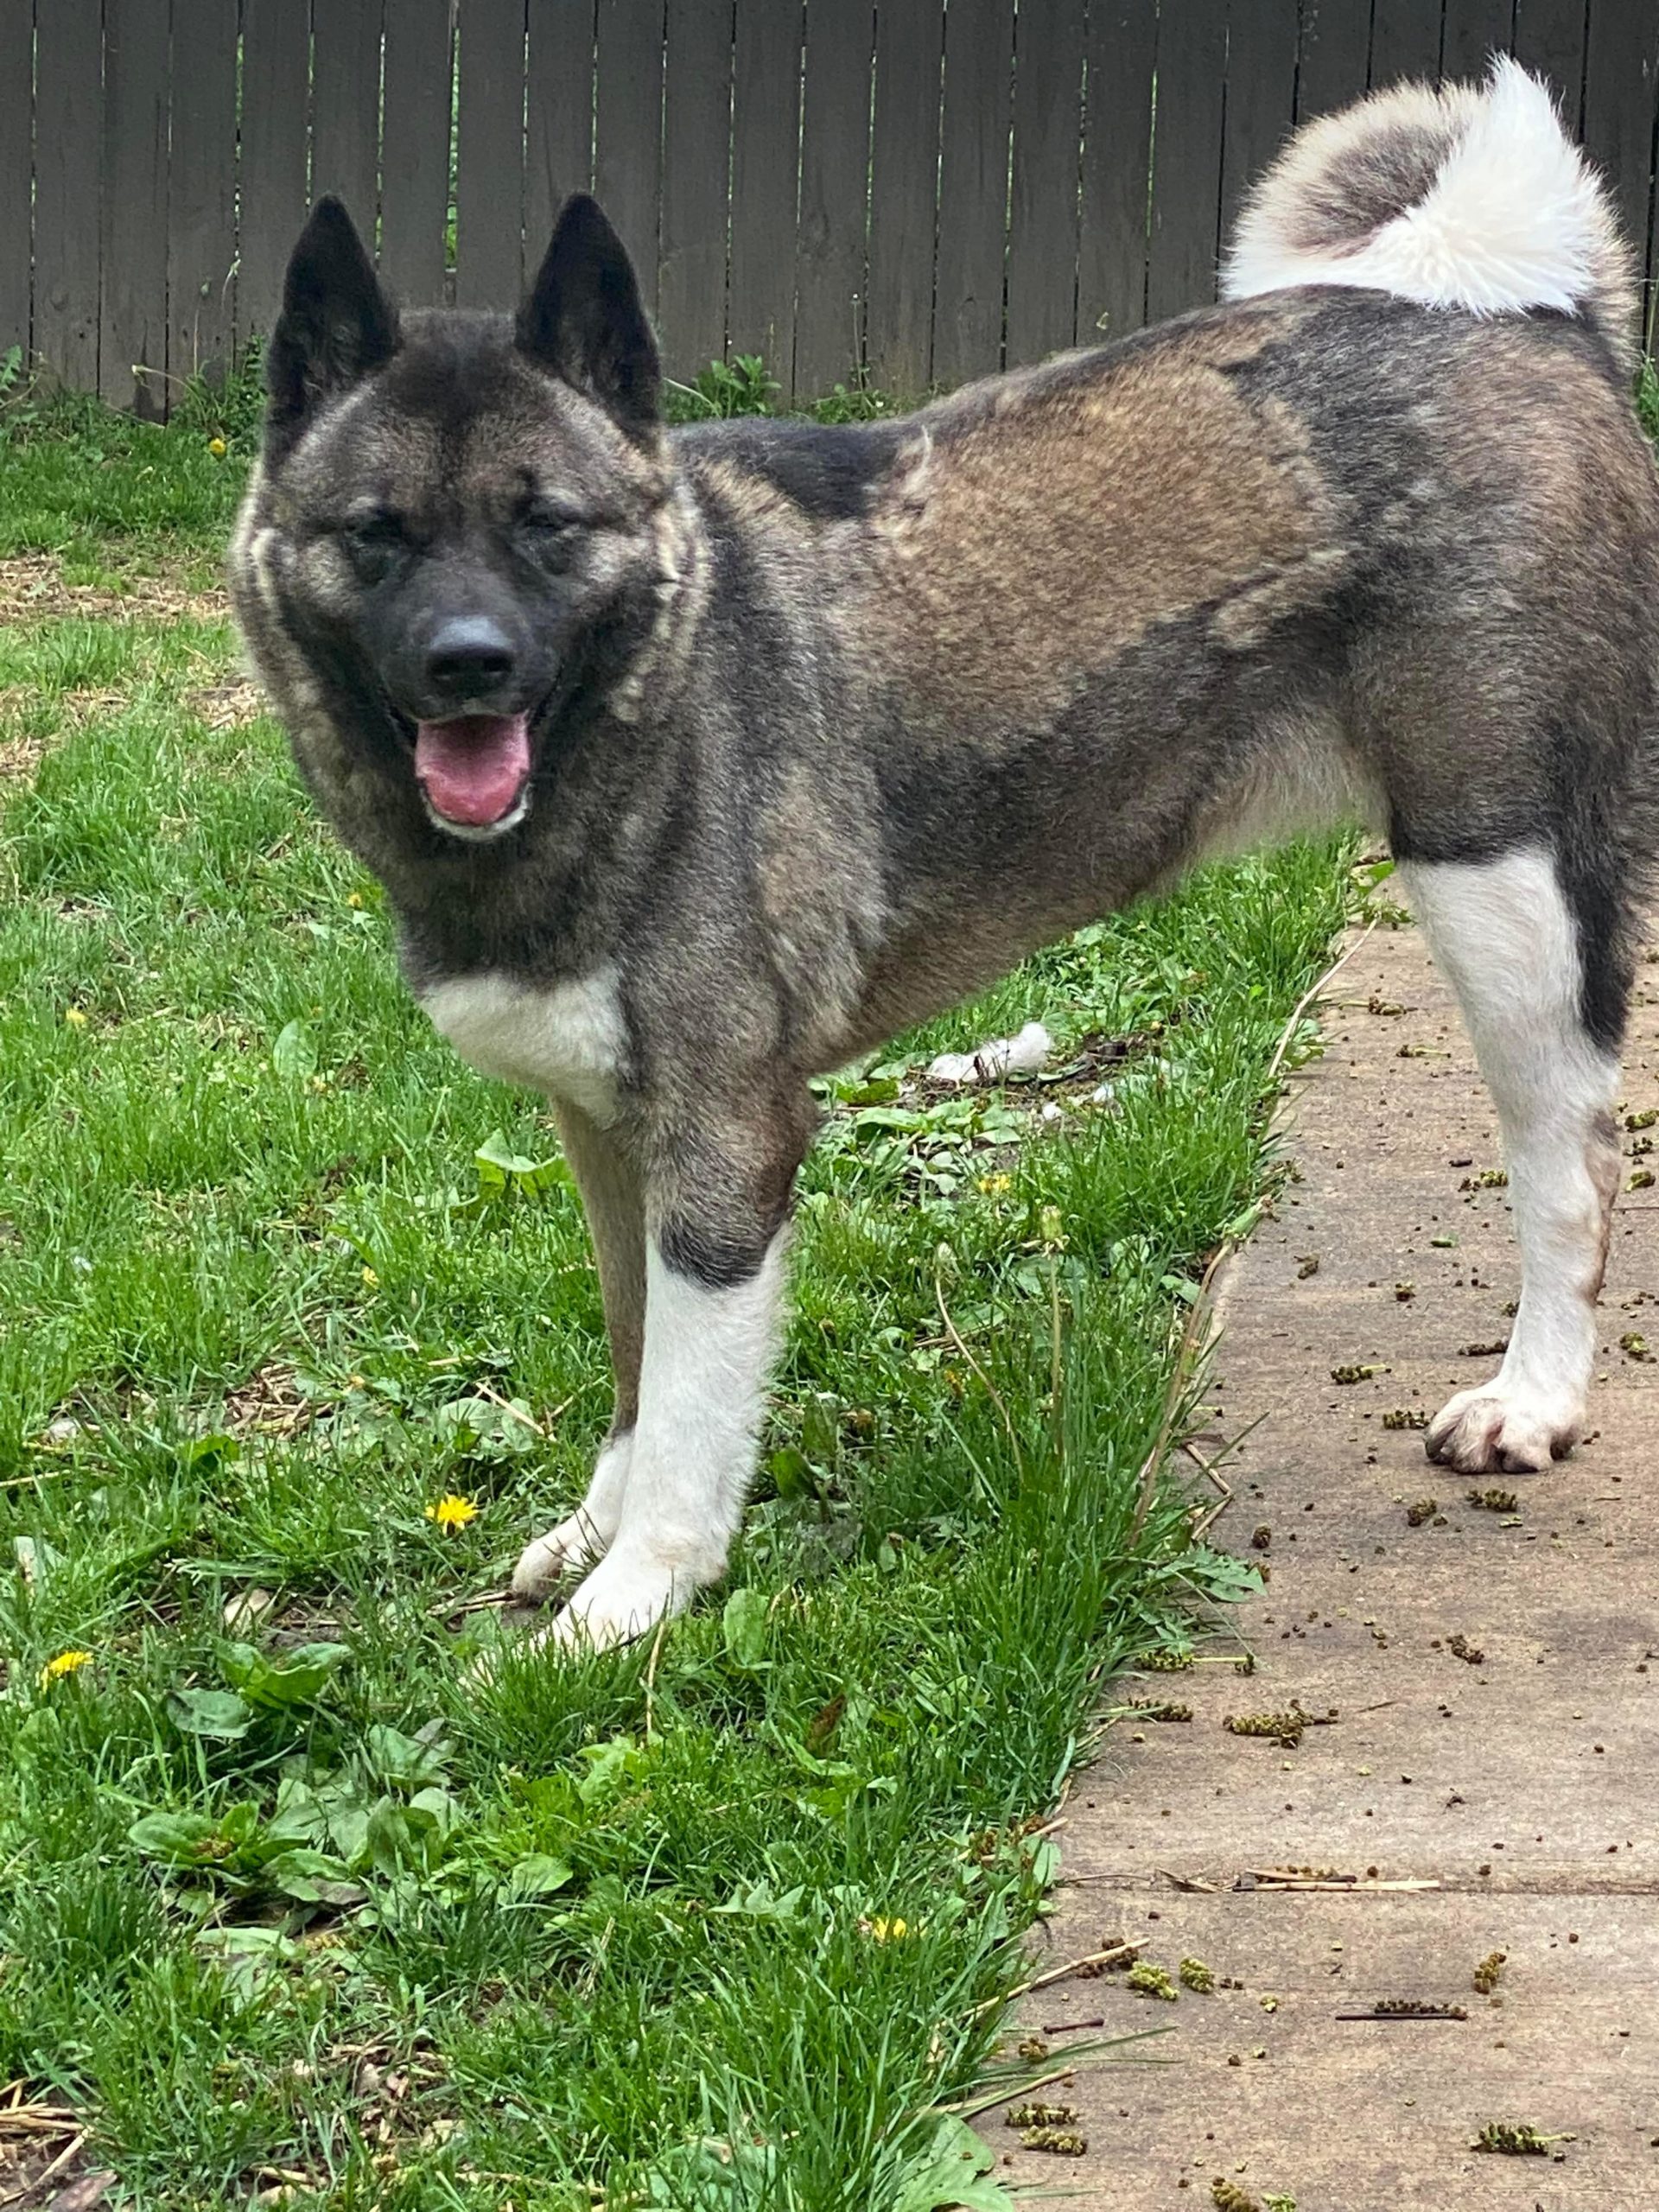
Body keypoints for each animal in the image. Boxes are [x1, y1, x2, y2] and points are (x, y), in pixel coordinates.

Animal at [234, 52, 1659, 1654]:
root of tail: (1534, 318)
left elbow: (689, 1407)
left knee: (1572, 1163)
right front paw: (596, 1529)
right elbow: (631, 1355)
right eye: (378, 533)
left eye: (546, 527)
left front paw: (636, 1597)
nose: (468, 664)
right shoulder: (603, 1131)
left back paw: (1535, 1396)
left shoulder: (727, 1145)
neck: (653, 692)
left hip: (1504, 886)